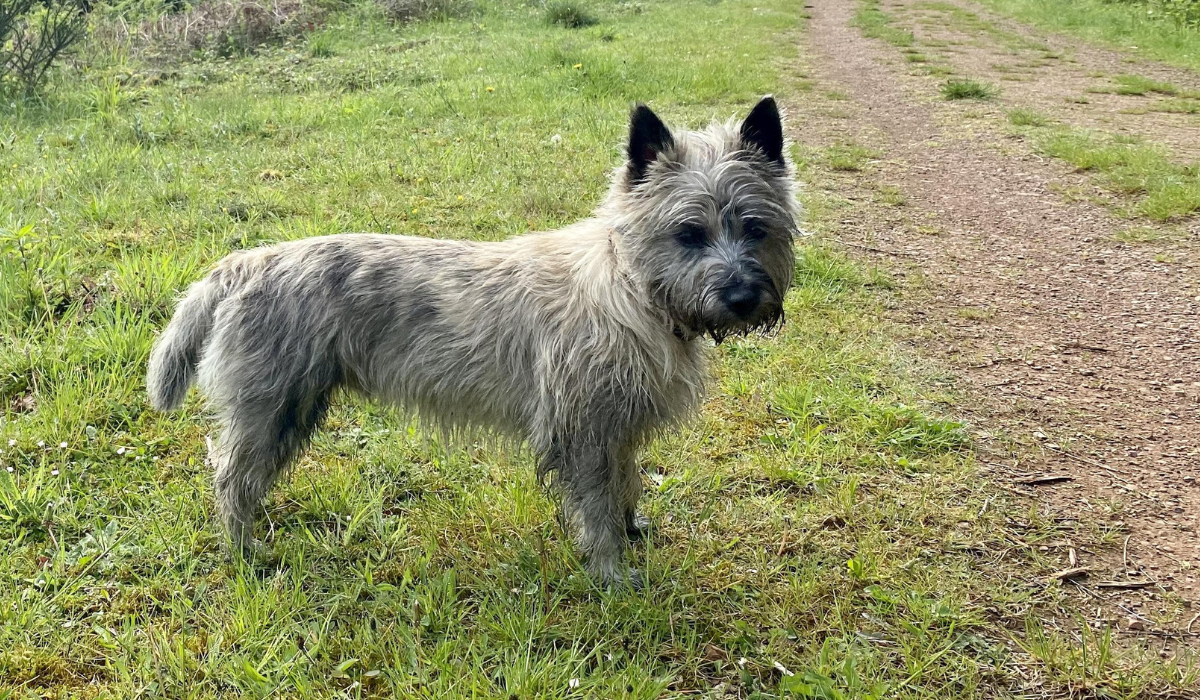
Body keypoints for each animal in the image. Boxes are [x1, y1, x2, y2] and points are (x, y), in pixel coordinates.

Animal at [150, 94, 801, 585]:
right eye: (688, 233)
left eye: (755, 227)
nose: (742, 297)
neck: (630, 291)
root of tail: (243, 265)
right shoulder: (583, 431)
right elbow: (597, 505)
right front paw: (612, 574)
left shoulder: (616, 428)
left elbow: (627, 483)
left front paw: (632, 530)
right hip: (274, 409)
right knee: (231, 478)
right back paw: (247, 554)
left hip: (289, 411)